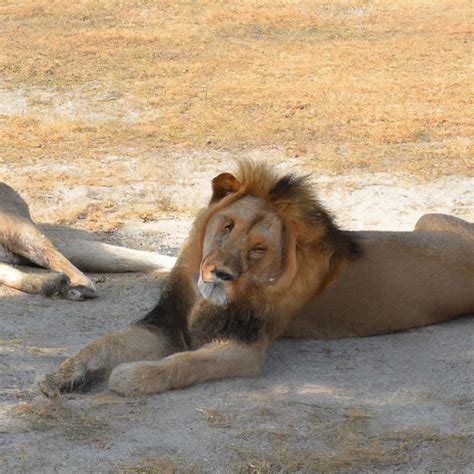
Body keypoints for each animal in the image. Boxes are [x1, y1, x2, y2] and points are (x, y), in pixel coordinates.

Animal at [39, 161, 472, 398]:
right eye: (227, 226)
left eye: (258, 249)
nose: (220, 273)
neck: (204, 301)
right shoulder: (164, 323)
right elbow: (104, 343)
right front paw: (61, 375)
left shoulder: (244, 348)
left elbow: (185, 362)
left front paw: (134, 376)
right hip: (427, 219)